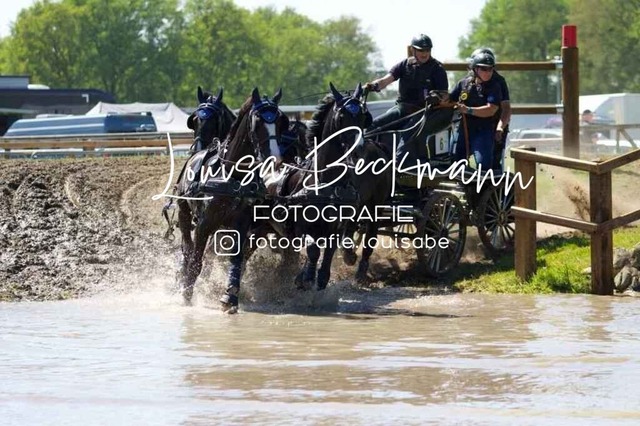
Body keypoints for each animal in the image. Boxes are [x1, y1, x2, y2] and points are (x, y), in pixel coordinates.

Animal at [175, 87, 289, 312]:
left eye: (281, 121)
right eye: (257, 122)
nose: (275, 159)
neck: (232, 175)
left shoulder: (242, 224)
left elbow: (236, 259)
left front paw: (230, 296)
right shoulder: (204, 224)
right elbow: (197, 261)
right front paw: (187, 294)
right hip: (184, 213)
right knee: (188, 246)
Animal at [264, 82, 370, 292]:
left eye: (363, 116)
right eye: (342, 116)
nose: (359, 150)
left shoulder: (337, 226)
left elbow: (329, 250)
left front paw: (320, 277)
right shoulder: (303, 226)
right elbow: (313, 250)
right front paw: (305, 278)